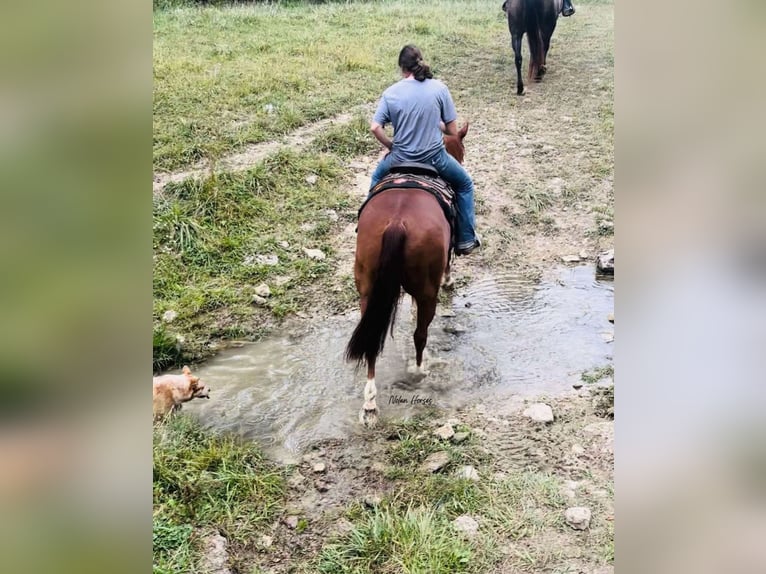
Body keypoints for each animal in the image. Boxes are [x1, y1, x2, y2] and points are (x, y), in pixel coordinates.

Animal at [346, 125, 468, 428]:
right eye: (461, 150)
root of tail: (397, 222)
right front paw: (449, 281)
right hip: (427, 292)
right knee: (420, 335)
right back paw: (419, 370)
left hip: (368, 291)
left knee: (371, 341)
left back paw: (370, 404)